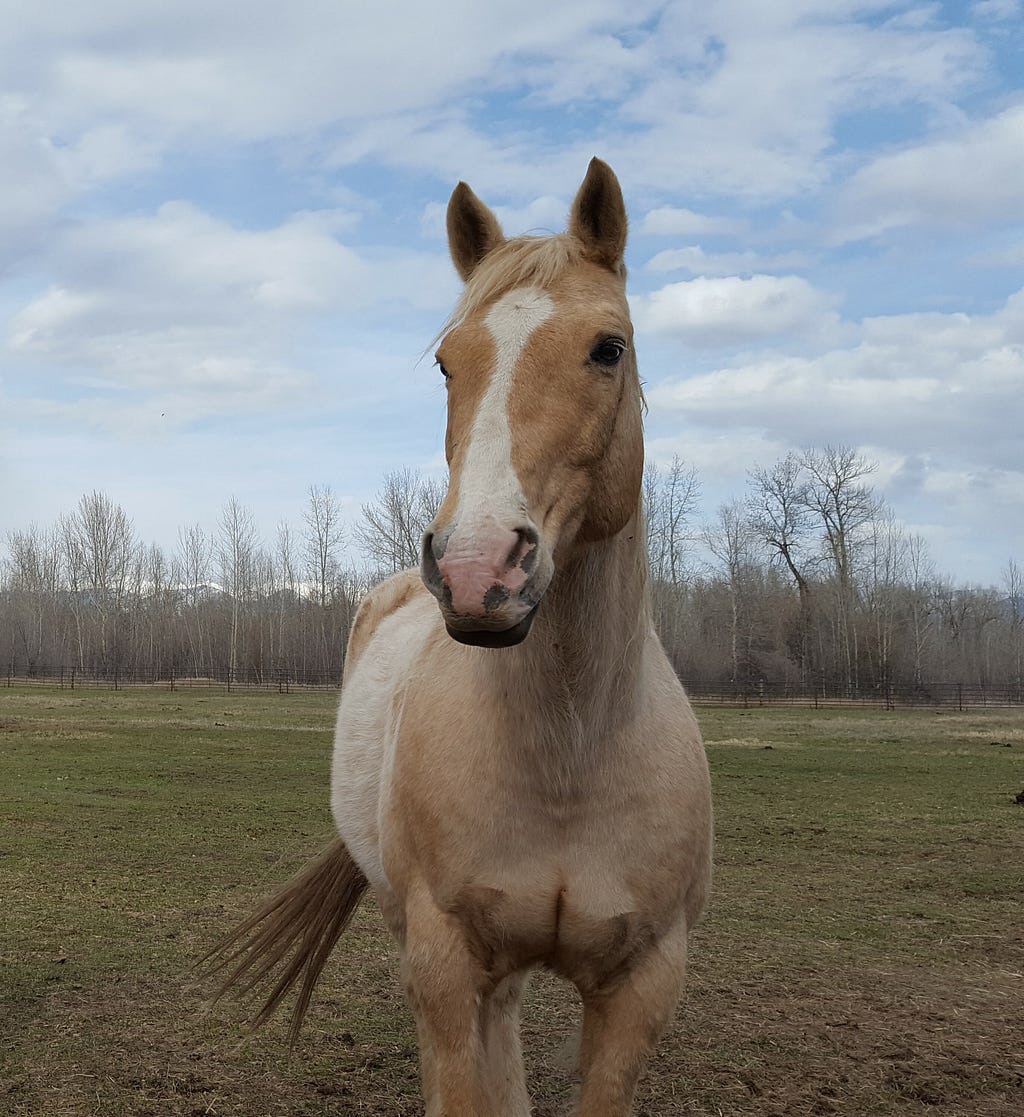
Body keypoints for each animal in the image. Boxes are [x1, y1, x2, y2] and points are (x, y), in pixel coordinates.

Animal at [209, 158, 713, 1117]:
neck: (569, 753)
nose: (480, 570)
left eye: (610, 348)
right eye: (449, 361)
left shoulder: (644, 986)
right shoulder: (444, 959)